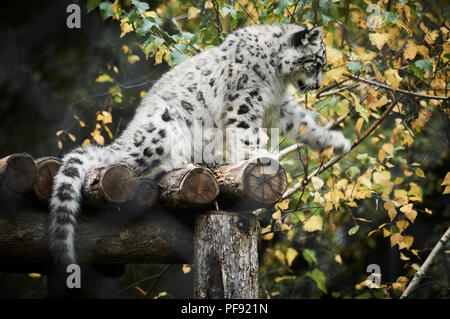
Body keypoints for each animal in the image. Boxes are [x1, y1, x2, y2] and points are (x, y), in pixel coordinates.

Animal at [48, 23, 352, 266]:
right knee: (131, 165)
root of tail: (126, 137)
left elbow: (304, 123)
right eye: (317, 63)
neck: (277, 77)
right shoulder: (244, 100)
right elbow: (245, 132)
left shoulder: (280, 107)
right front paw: (257, 152)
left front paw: (337, 142)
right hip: (161, 128)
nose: (317, 85)